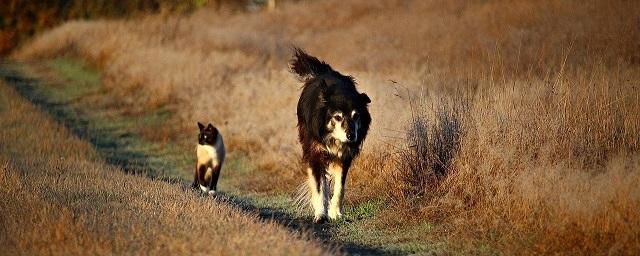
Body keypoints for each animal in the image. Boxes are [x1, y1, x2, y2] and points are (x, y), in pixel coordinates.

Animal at [288, 48, 370, 224]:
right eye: (337, 117)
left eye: (356, 116)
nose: (351, 136)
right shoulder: (316, 152)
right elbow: (319, 186)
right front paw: (321, 214)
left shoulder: (344, 157)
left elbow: (339, 187)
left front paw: (336, 213)